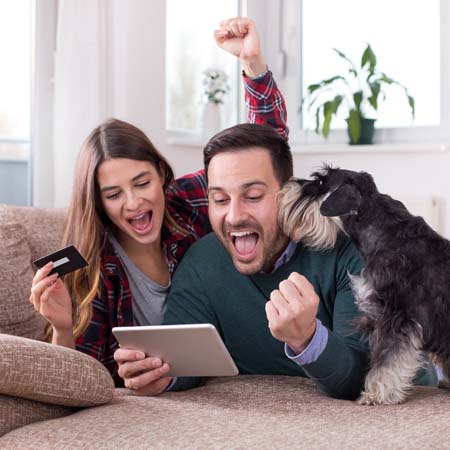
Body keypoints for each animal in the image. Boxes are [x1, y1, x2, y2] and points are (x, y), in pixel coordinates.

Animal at [278, 165, 450, 404]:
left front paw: (377, 393)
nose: (287, 187)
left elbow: (387, 360)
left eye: (320, 182)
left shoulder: (396, 317)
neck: (383, 232)